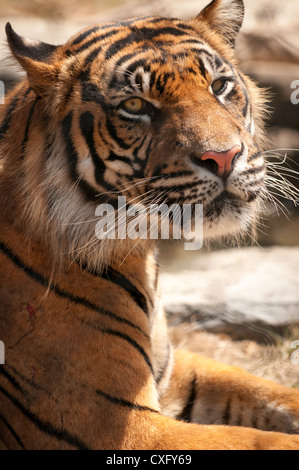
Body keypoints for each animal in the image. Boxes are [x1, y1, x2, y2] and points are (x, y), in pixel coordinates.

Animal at [0, 0, 299, 450]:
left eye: (219, 86)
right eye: (137, 106)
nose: (224, 157)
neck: (140, 252)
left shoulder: (173, 370)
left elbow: (265, 389)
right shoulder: (123, 425)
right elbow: (256, 439)